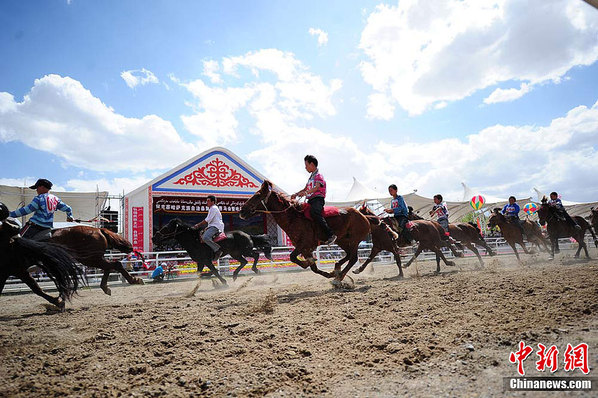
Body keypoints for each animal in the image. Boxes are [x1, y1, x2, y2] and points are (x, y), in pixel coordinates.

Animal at [238, 180, 370, 282]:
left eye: (257, 195)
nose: (242, 211)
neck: (294, 218)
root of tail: (363, 216)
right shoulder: (303, 248)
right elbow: (311, 267)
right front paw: (327, 272)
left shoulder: (305, 246)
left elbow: (294, 258)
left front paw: (310, 263)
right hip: (342, 241)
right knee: (348, 256)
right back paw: (337, 269)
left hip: (354, 241)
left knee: (353, 258)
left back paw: (339, 278)